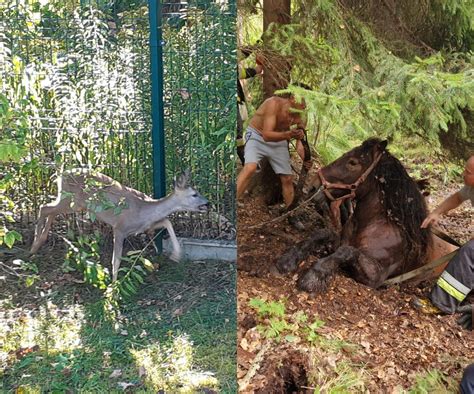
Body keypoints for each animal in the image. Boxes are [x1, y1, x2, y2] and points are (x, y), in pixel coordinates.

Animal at [29, 169, 207, 280]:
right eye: (194, 194)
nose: (208, 203)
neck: (143, 209)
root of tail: (61, 173)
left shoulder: (143, 226)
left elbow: (167, 221)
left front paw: (176, 255)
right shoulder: (119, 227)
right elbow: (116, 260)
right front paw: (113, 288)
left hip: (73, 203)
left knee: (49, 210)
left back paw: (39, 242)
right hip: (70, 200)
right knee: (44, 207)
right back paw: (33, 246)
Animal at [274, 138, 456, 292]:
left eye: (353, 162)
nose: (312, 186)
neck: (372, 224)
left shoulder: (375, 276)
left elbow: (347, 251)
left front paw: (314, 276)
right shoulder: (336, 242)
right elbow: (322, 233)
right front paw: (288, 260)